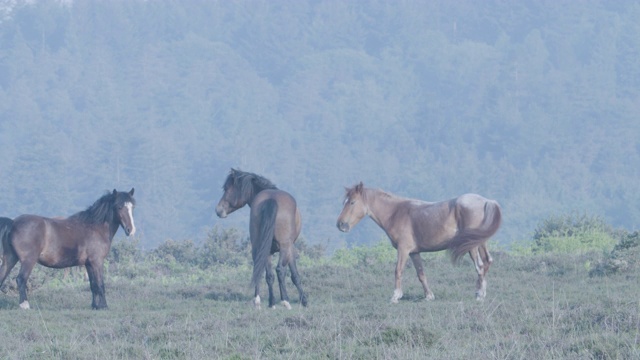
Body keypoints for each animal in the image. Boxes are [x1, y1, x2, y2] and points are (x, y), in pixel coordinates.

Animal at [0, 188, 135, 310]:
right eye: (119, 207)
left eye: (132, 207)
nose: (131, 230)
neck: (95, 227)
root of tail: (13, 222)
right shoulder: (97, 262)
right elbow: (100, 284)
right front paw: (103, 306)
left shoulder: (88, 264)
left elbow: (93, 285)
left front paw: (95, 306)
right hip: (28, 261)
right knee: (21, 279)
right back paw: (25, 305)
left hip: (10, 259)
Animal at [215, 169, 308, 310]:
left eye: (227, 189)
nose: (218, 210)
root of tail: (271, 199)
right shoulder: (290, 247)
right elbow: (294, 274)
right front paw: (304, 300)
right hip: (283, 246)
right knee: (279, 270)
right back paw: (285, 301)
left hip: (260, 246)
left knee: (263, 271)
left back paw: (266, 301)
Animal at [336, 181, 500, 302]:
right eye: (344, 201)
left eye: (352, 202)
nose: (340, 225)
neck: (396, 213)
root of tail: (486, 201)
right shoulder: (414, 252)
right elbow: (421, 273)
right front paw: (429, 296)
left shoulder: (403, 249)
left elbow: (398, 270)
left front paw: (396, 295)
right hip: (480, 242)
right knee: (487, 262)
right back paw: (481, 292)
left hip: (472, 245)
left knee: (480, 266)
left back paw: (479, 294)